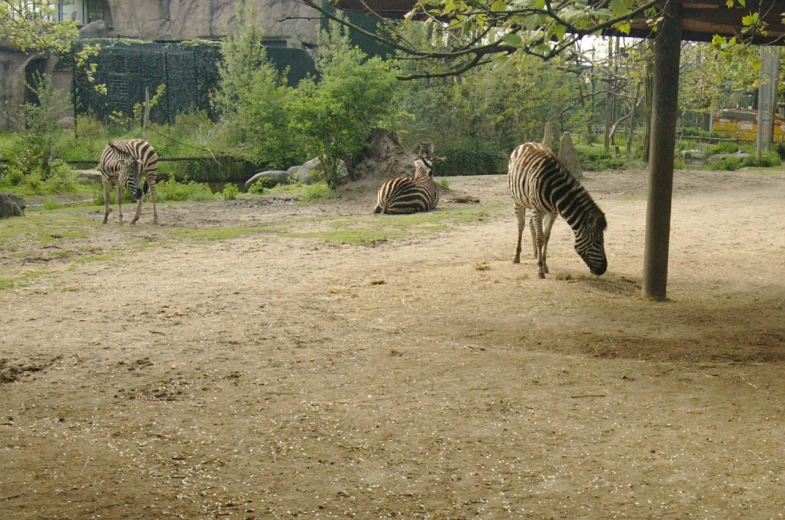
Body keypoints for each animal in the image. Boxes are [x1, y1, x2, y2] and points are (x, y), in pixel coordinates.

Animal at [506, 142, 608, 278]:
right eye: (597, 241)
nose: (603, 269)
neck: (555, 191)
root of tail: (526, 143)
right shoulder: (537, 210)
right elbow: (540, 238)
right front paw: (540, 269)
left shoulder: (552, 212)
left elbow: (546, 236)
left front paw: (544, 264)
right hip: (517, 200)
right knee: (521, 226)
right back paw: (516, 256)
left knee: (531, 224)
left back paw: (535, 253)